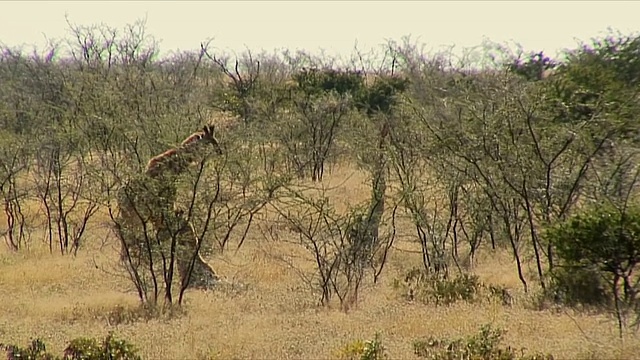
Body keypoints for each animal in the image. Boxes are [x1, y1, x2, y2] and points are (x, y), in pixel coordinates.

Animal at [114, 124, 222, 296]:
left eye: (215, 140)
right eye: (209, 142)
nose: (220, 152)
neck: (172, 169)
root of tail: (118, 195)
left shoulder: (163, 209)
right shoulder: (164, 204)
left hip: (131, 216)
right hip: (131, 215)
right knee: (125, 234)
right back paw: (126, 262)